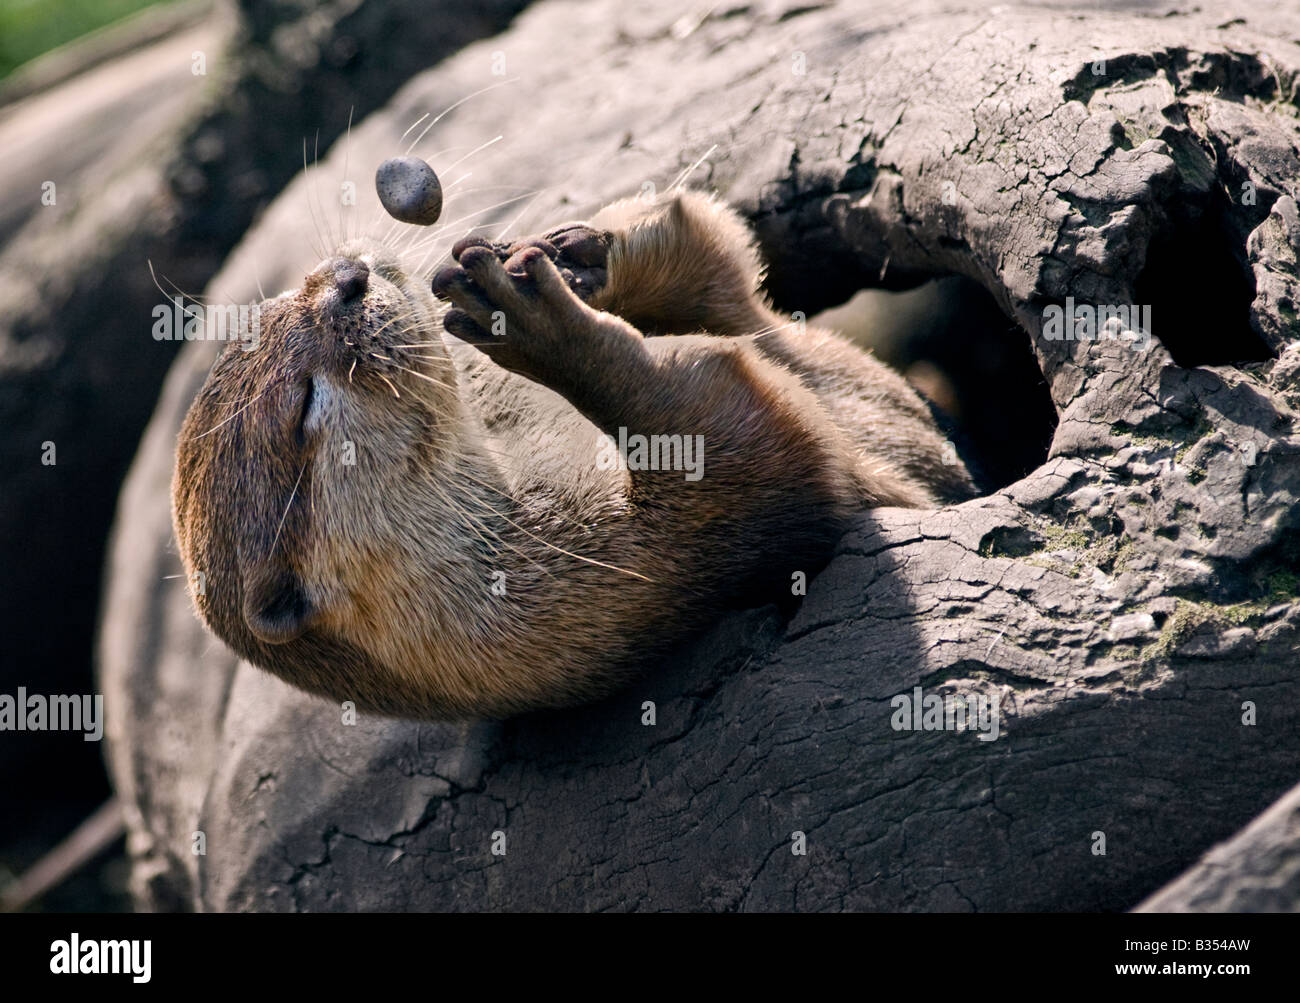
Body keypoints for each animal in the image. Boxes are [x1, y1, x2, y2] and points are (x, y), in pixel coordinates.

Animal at [172, 189, 972, 722]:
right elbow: (745, 433)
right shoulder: (631, 580)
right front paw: (552, 334)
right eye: (302, 405)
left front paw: (583, 257)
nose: (346, 278)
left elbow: (727, 277)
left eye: (284, 296)